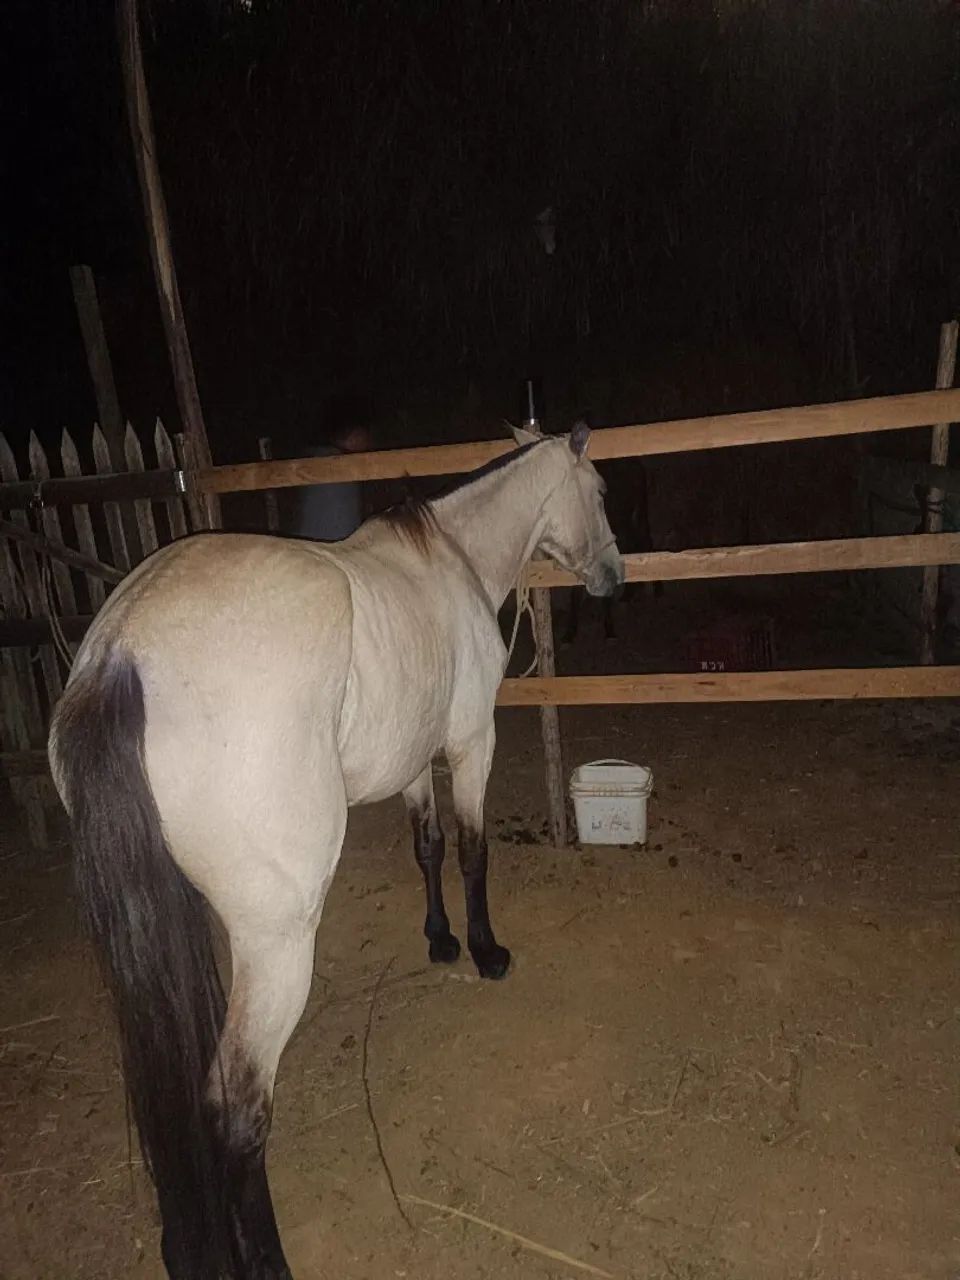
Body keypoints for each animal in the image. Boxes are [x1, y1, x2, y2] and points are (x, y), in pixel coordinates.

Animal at [48, 420, 623, 1280]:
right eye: (601, 493)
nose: (615, 576)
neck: (452, 558)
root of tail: (121, 654)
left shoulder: (416, 758)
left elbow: (427, 848)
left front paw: (440, 940)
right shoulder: (470, 743)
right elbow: (472, 850)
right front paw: (486, 951)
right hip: (278, 942)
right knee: (237, 1111)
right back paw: (264, 1261)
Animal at [562, 455, 662, 644]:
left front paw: (609, 629)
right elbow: (573, 592)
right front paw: (569, 632)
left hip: (636, 515)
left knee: (645, 542)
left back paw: (657, 589)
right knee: (635, 546)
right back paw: (629, 594)